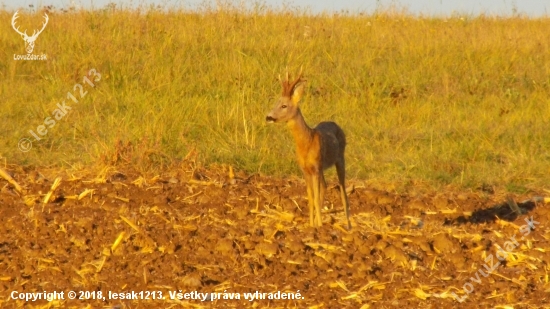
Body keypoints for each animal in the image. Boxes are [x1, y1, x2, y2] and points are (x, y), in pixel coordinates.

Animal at [268, 70, 354, 229]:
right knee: (325, 186)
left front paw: (318, 226)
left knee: (342, 190)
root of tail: (336, 124)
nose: (268, 117)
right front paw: (311, 225)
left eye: (284, 106)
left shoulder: (316, 168)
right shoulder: (306, 170)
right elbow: (311, 198)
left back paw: (348, 226)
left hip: (339, 159)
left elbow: (316, 197)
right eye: (275, 103)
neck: (306, 143)